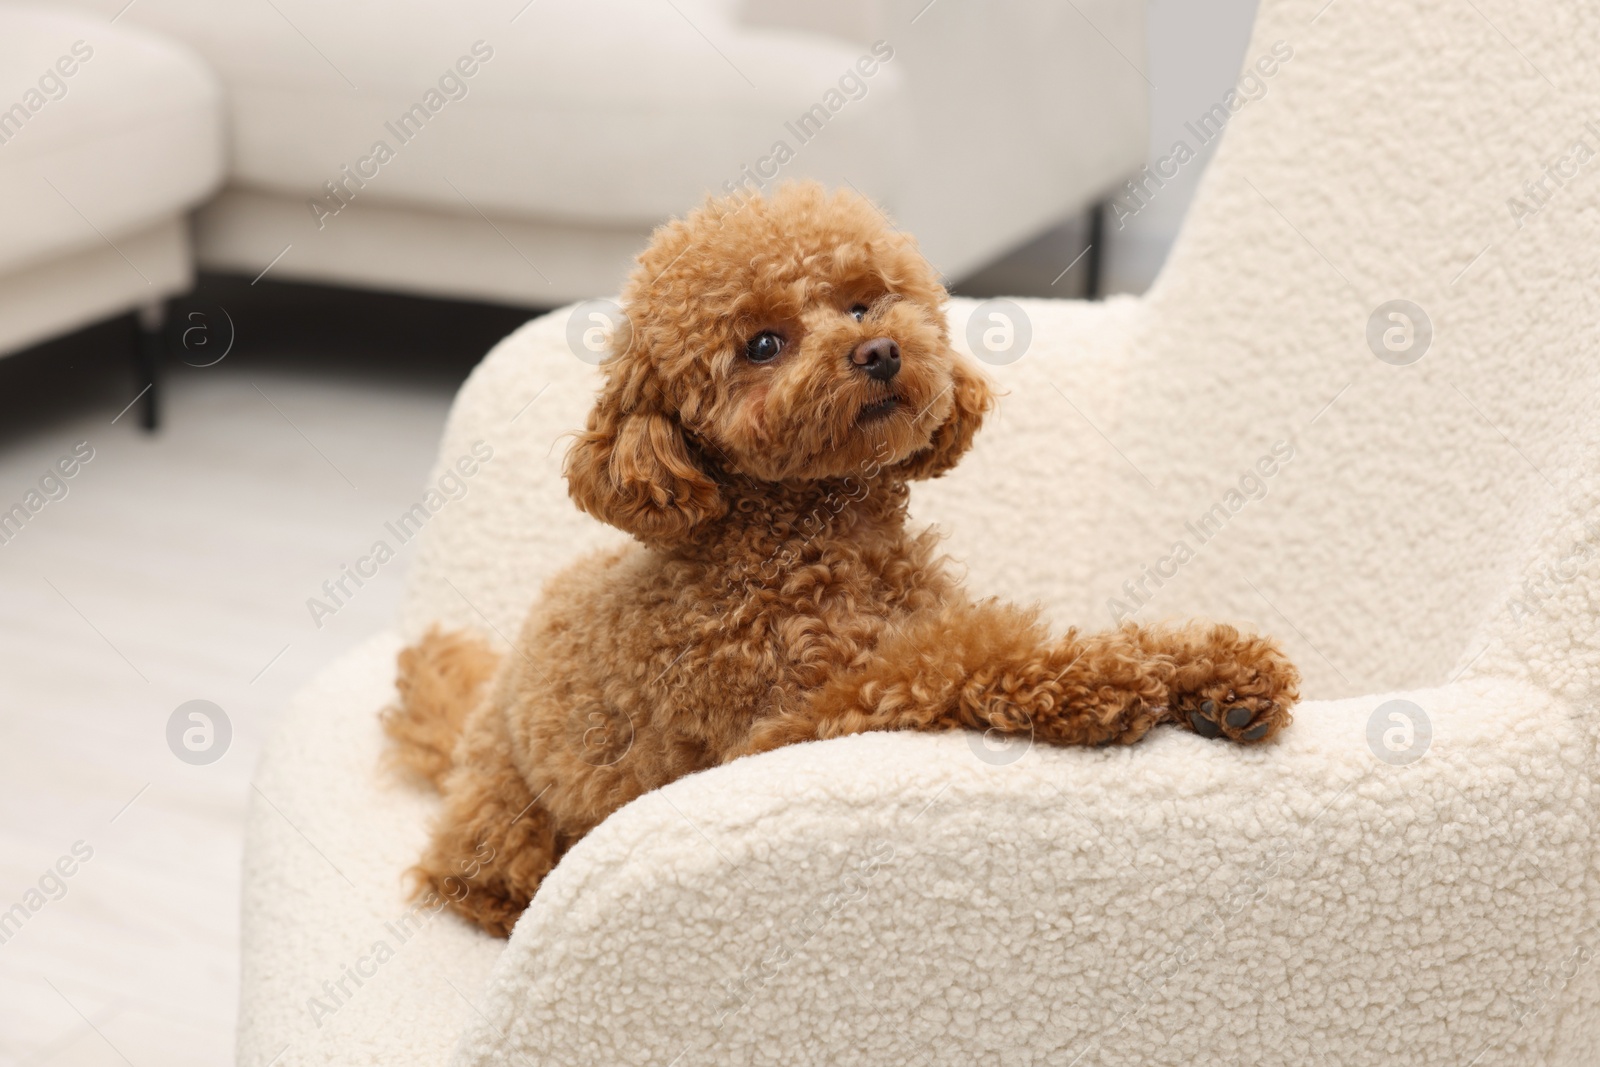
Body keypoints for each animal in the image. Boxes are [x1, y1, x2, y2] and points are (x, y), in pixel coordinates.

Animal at [387, 181, 1299, 934]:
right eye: (761, 344)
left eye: (863, 303)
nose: (880, 351)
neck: (815, 538)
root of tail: (479, 712)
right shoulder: (793, 720)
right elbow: (960, 659)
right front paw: (1106, 682)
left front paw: (1220, 673)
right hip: (505, 817)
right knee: (467, 879)